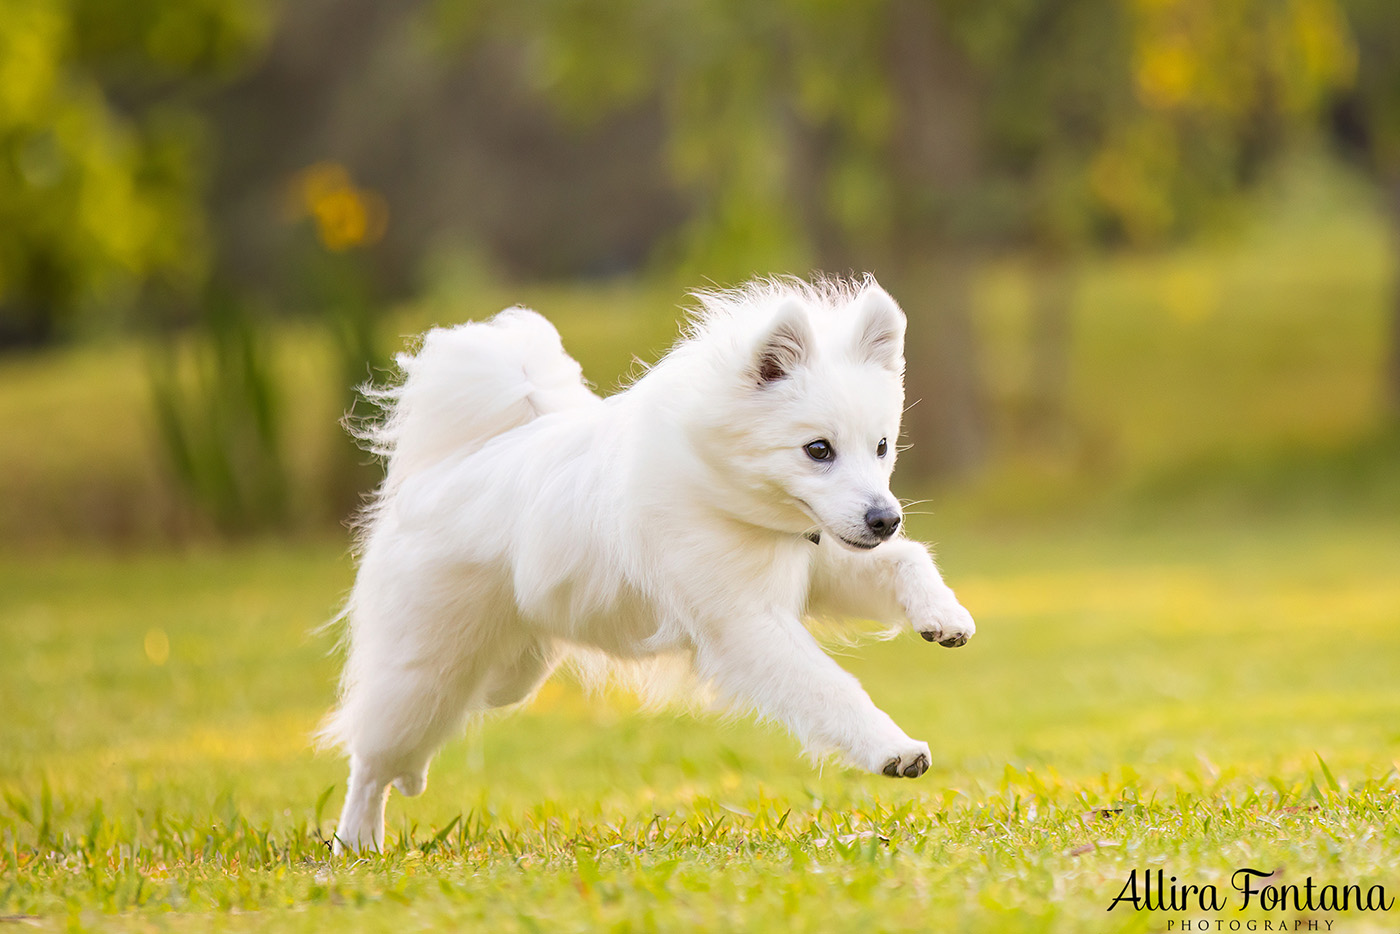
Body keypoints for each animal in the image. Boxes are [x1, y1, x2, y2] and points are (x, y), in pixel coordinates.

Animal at [320, 274, 974, 851]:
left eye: (882, 446)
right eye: (818, 450)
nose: (885, 518)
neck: (725, 491)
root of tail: (448, 466)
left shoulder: (820, 565)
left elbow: (906, 561)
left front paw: (943, 615)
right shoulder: (745, 626)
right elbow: (831, 688)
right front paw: (892, 748)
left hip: (509, 672)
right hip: (427, 670)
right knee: (370, 759)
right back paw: (358, 843)